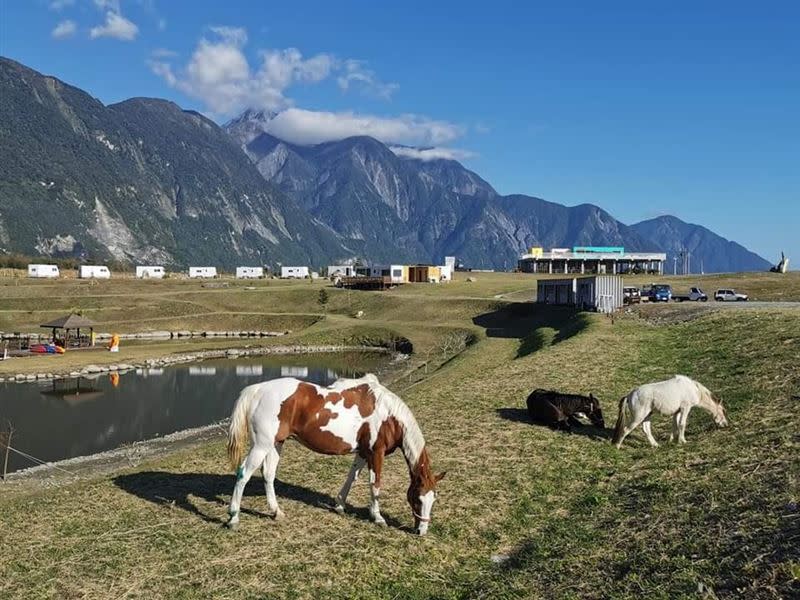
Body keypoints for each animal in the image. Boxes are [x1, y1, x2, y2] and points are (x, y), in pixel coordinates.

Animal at [227, 376, 444, 536]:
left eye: (433, 499)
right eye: (417, 499)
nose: (421, 531)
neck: (388, 414)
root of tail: (258, 390)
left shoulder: (363, 453)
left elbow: (351, 477)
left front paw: (339, 505)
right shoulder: (376, 453)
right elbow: (375, 485)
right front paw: (378, 517)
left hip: (275, 444)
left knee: (268, 475)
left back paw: (276, 512)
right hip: (261, 445)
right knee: (243, 474)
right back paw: (233, 517)